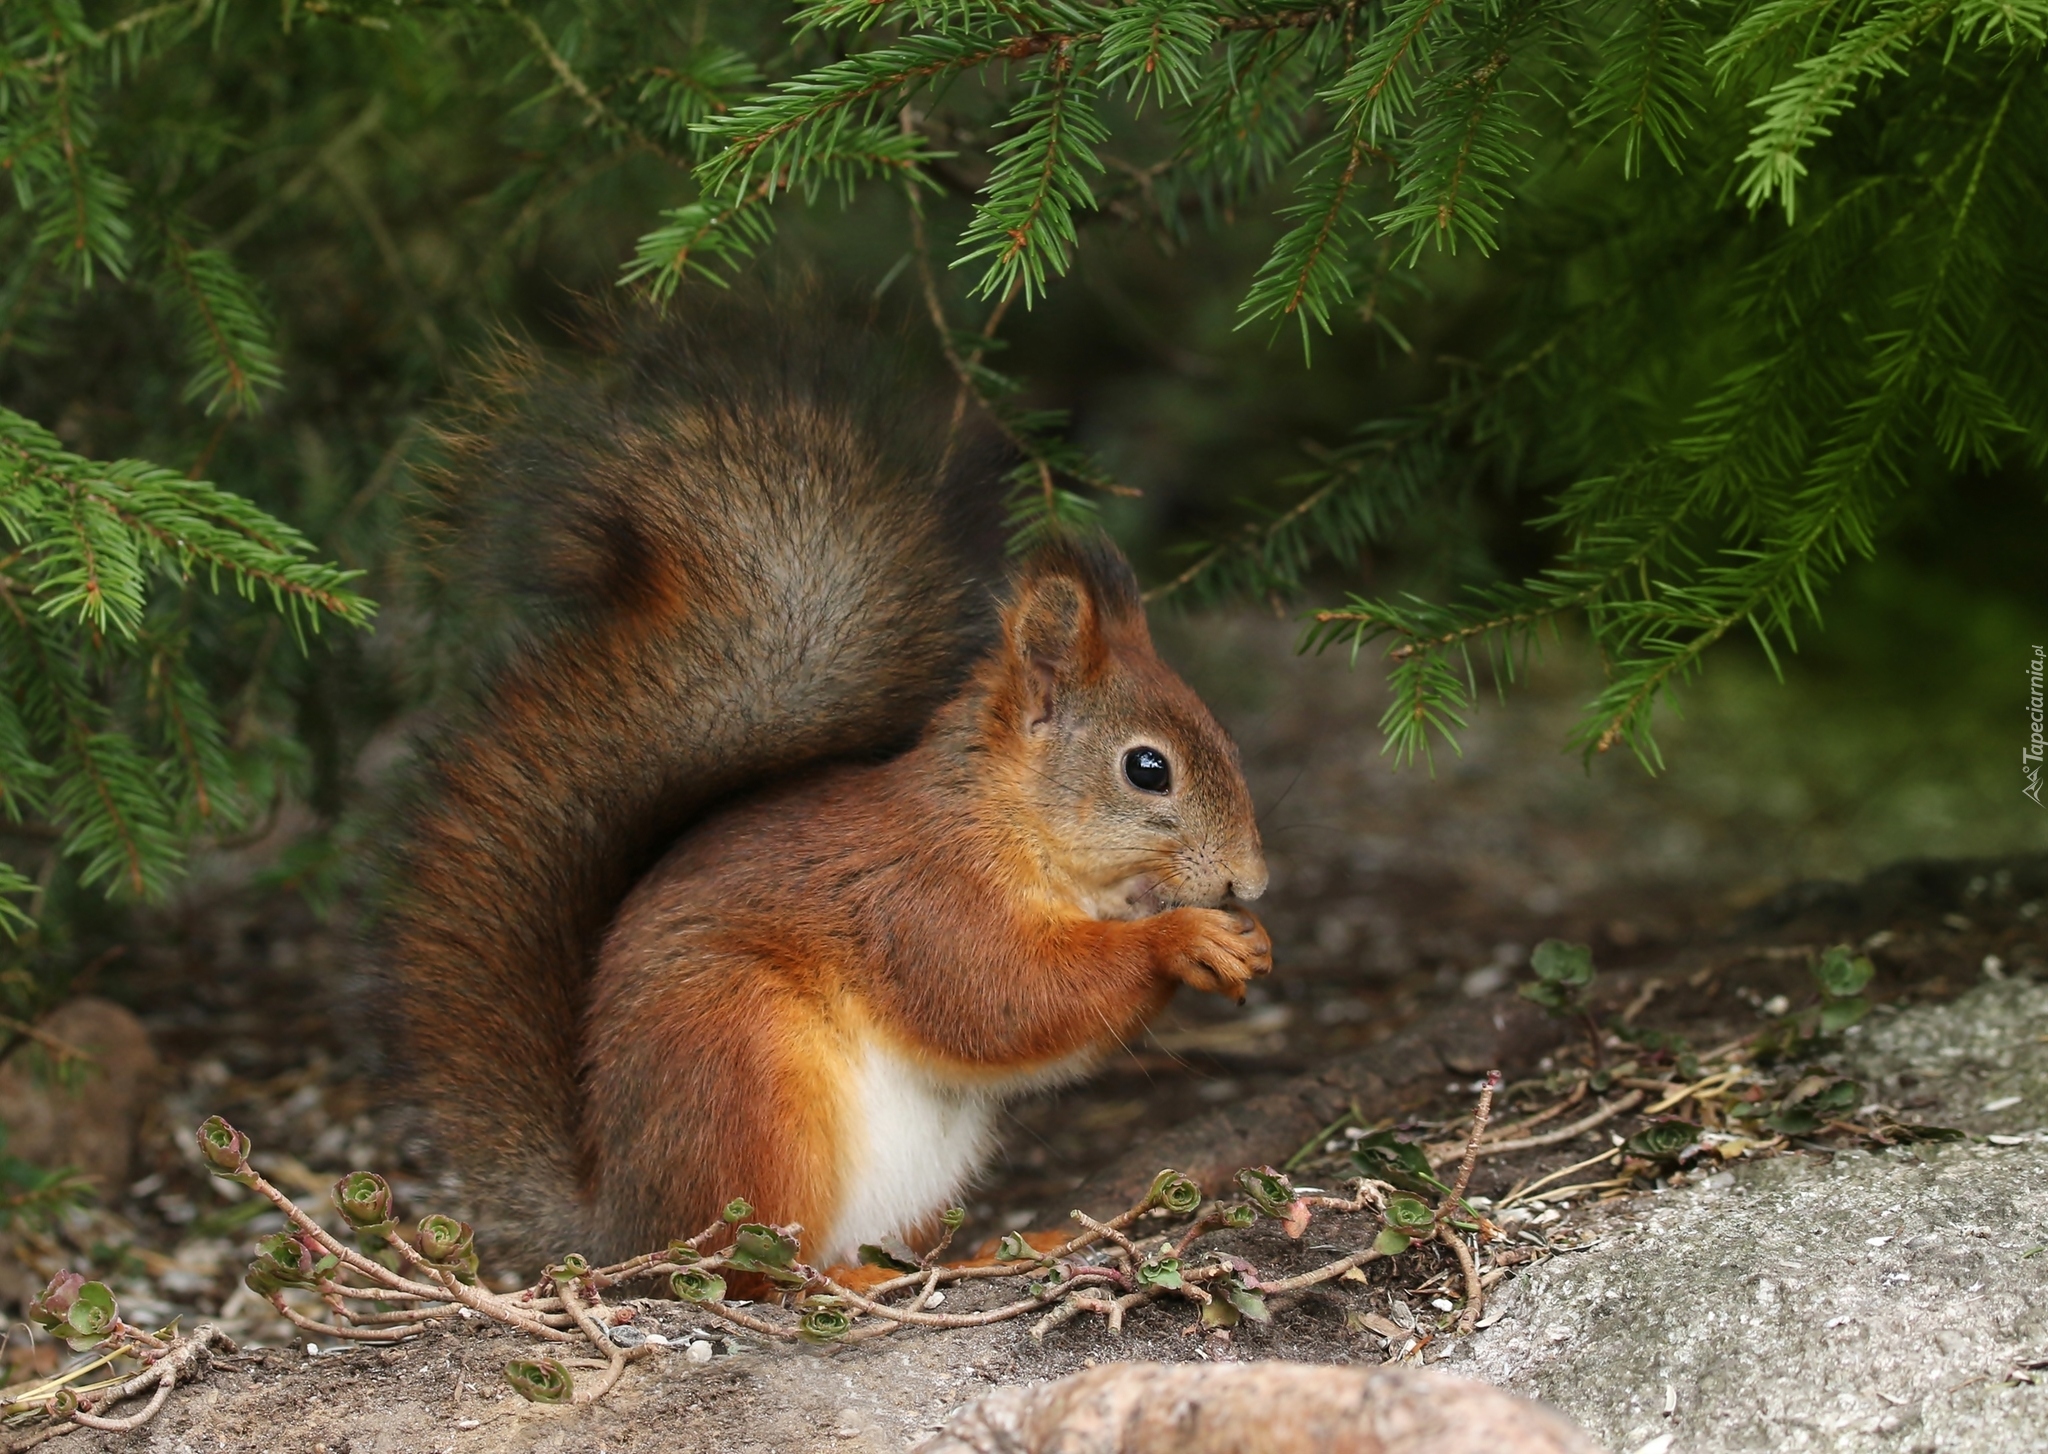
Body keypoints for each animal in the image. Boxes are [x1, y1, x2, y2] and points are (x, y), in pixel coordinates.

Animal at [391, 301, 1269, 1269]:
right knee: (755, 1269)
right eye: (1148, 769)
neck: (1005, 822)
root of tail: (621, 1220)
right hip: (745, 1071)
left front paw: (1245, 940)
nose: (1253, 881)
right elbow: (1001, 997)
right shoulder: (919, 902)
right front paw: (1184, 938)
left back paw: (986, 1253)